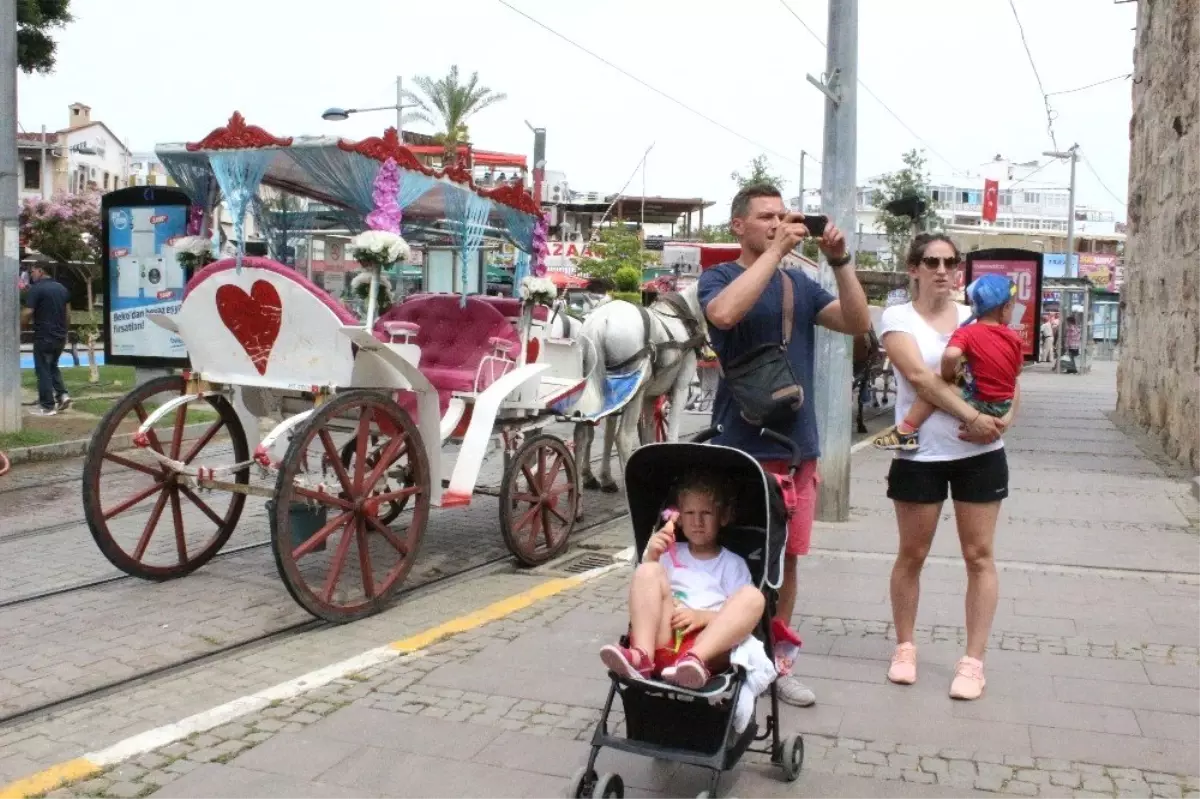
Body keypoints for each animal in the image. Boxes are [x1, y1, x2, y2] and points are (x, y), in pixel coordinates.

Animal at [568, 279, 700, 491]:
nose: (697, 384)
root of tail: (601, 321)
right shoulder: (680, 387)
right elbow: (670, 432)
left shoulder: (647, 396)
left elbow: (646, 433)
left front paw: (605, 477)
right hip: (634, 392)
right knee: (623, 438)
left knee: (582, 434)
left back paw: (579, 491)